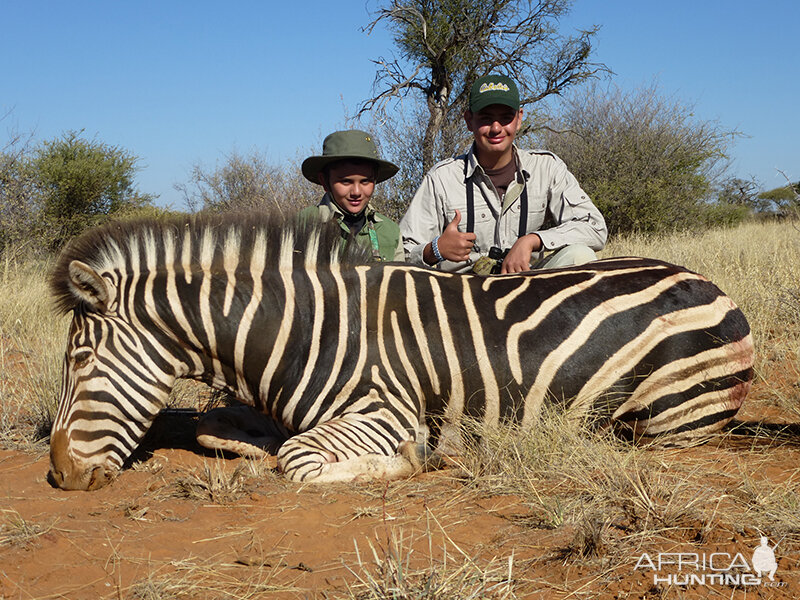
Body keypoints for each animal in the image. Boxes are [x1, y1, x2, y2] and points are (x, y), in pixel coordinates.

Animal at [48, 213, 752, 490]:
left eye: (79, 362)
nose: (58, 474)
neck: (302, 331)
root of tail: (711, 284)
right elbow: (216, 428)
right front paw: (255, 444)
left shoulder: (384, 411)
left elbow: (300, 461)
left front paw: (416, 460)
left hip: (667, 418)